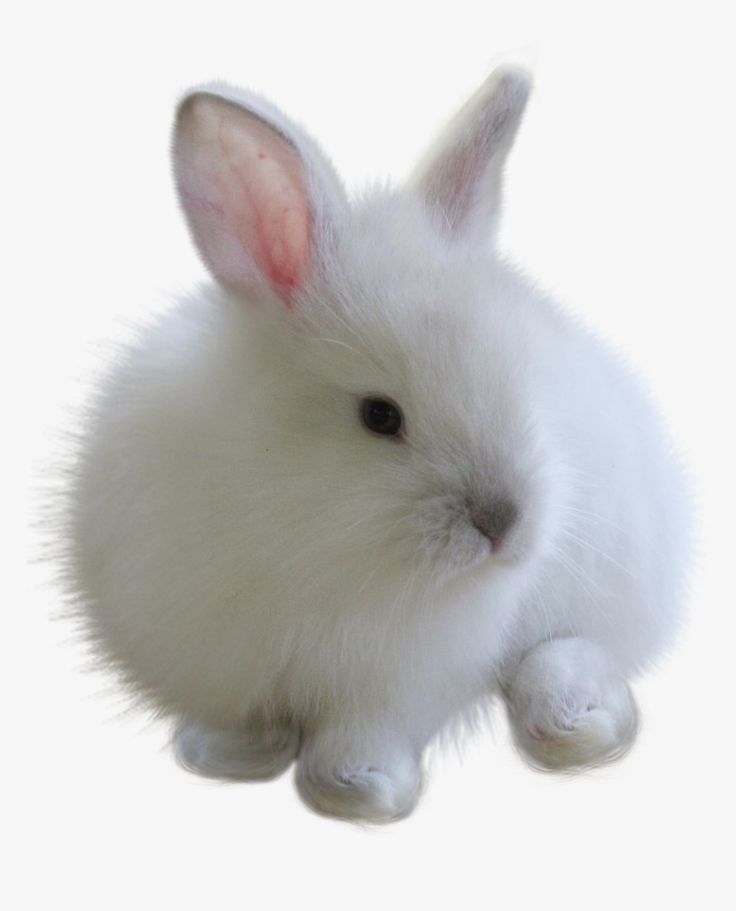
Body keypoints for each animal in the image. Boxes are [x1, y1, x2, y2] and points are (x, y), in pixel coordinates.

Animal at [66, 67, 692, 824]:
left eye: (523, 385)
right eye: (380, 416)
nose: (504, 524)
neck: (312, 533)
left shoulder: (400, 683)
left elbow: (365, 730)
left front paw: (358, 789)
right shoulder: (219, 661)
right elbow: (242, 717)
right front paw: (226, 757)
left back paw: (577, 723)